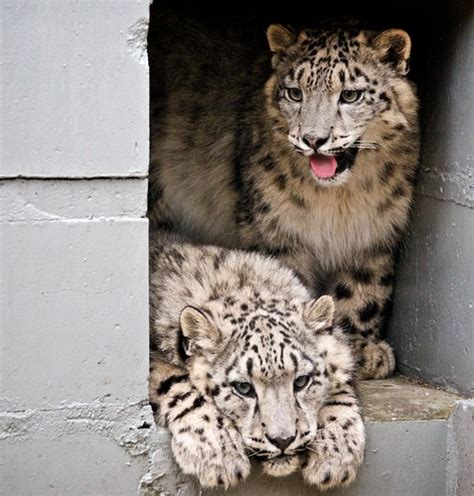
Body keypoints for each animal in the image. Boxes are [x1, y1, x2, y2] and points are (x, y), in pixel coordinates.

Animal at [150, 238, 364, 490]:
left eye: (301, 381)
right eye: (243, 388)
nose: (283, 440)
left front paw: (337, 451)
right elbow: (178, 385)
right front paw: (218, 453)